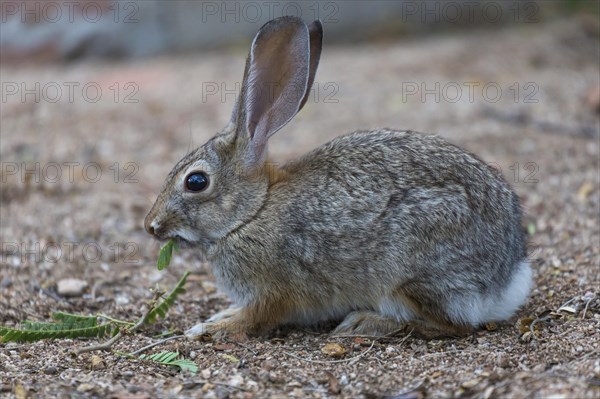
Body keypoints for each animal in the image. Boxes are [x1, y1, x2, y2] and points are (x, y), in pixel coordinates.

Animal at [144, 16, 528, 340]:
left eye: (195, 182)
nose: (151, 225)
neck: (251, 212)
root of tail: (508, 277)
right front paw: (217, 317)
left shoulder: (273, 290)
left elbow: (255, 319)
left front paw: (211, 328)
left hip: (410, 273)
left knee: (452, 325)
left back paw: (367, 322)